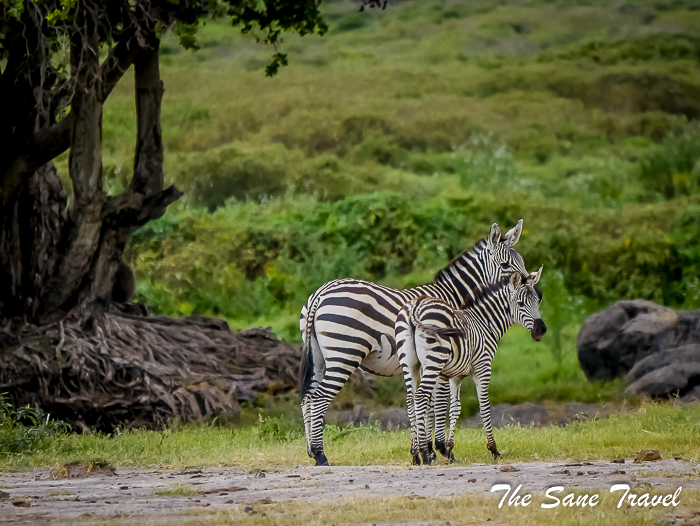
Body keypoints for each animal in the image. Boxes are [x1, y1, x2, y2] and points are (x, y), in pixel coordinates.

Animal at [296, 221, 532, 468]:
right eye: (505, 264)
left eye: (523, 261)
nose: (532, 285)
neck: (455, 299)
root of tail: (320, 293)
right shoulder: (442, 359)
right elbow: (437, 404)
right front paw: (438, 449)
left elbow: (423, 404)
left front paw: (423, 450)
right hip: (345, 353)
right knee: (319, 397)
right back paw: (321, 455)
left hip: (319, 356)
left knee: (307, 397)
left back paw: (311, 451)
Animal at [394, 268, 548, 466]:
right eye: (521, 304)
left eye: (538, 301)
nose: (541, 330)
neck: (484, 323)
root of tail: (416, 306)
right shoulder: (483, 368)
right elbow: (484, 406)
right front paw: (493, 449)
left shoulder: (454, 375)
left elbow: (454, 408)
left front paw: (449, 450)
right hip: (433, 361)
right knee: (420, 397)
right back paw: (424, 454)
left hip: (410, 364)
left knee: (410, 399)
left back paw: (415, 455)